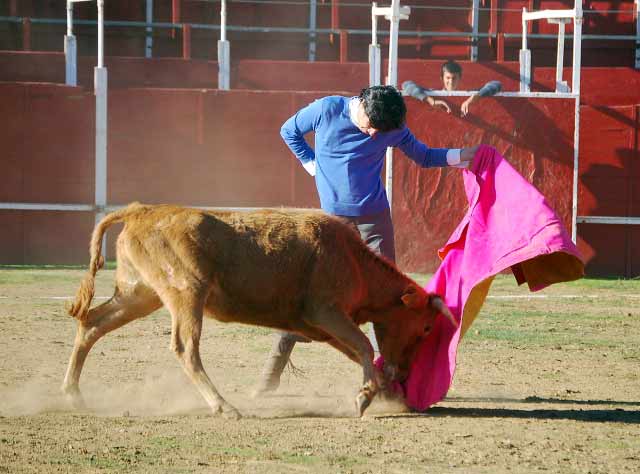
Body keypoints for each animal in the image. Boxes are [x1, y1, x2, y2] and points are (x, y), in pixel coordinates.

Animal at [62, 202, 456, 416]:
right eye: (425, 327)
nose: (403, 373)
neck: (354, 261)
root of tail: (141, 210)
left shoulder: (319, 325)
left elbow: (357, 350)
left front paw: (384, 393)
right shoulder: (325, 312)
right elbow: (363, 345)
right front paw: (364, 398)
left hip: (139, 295)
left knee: (93, 324)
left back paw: (72, 394)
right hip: (187, 293)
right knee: (185, 348)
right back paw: (224, 407)